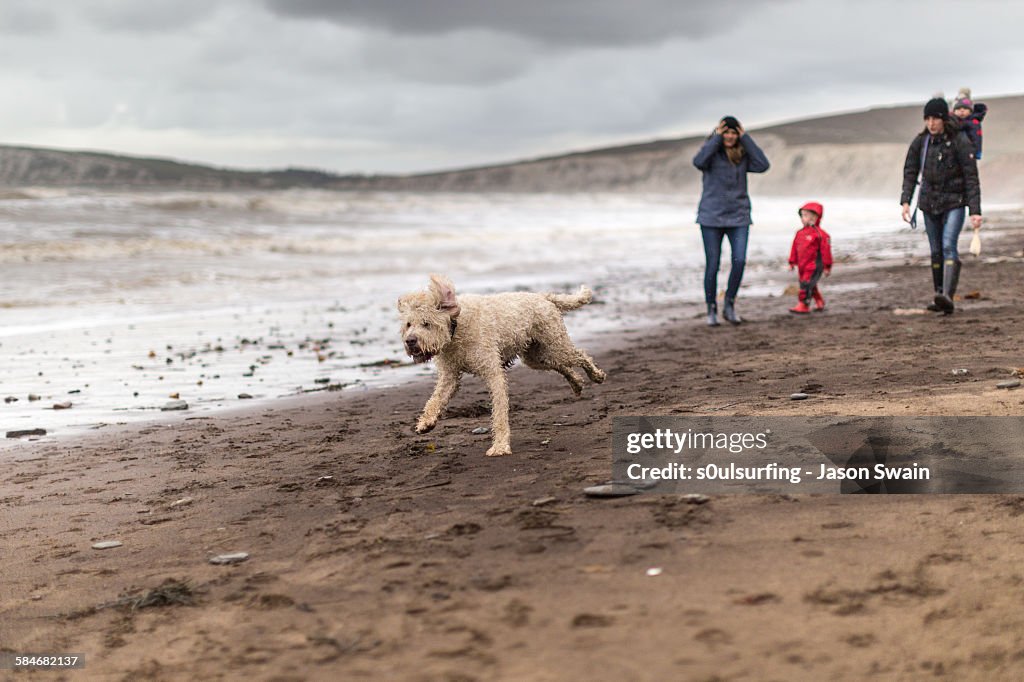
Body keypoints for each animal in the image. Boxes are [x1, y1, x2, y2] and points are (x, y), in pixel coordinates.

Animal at [397, 274, 606, 454]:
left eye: (426, 323)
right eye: (408, 324)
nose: (410, 341)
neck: (457, 327)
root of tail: (542, 296)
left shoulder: (493, 373)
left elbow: (499, 412)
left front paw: (500, 446)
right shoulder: (450, 376)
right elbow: (435, 399)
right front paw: (426, 422)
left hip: (556, 344)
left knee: (580, 355)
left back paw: (596, 375)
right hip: (536, 357)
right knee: (562, 366)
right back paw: (576, 383)